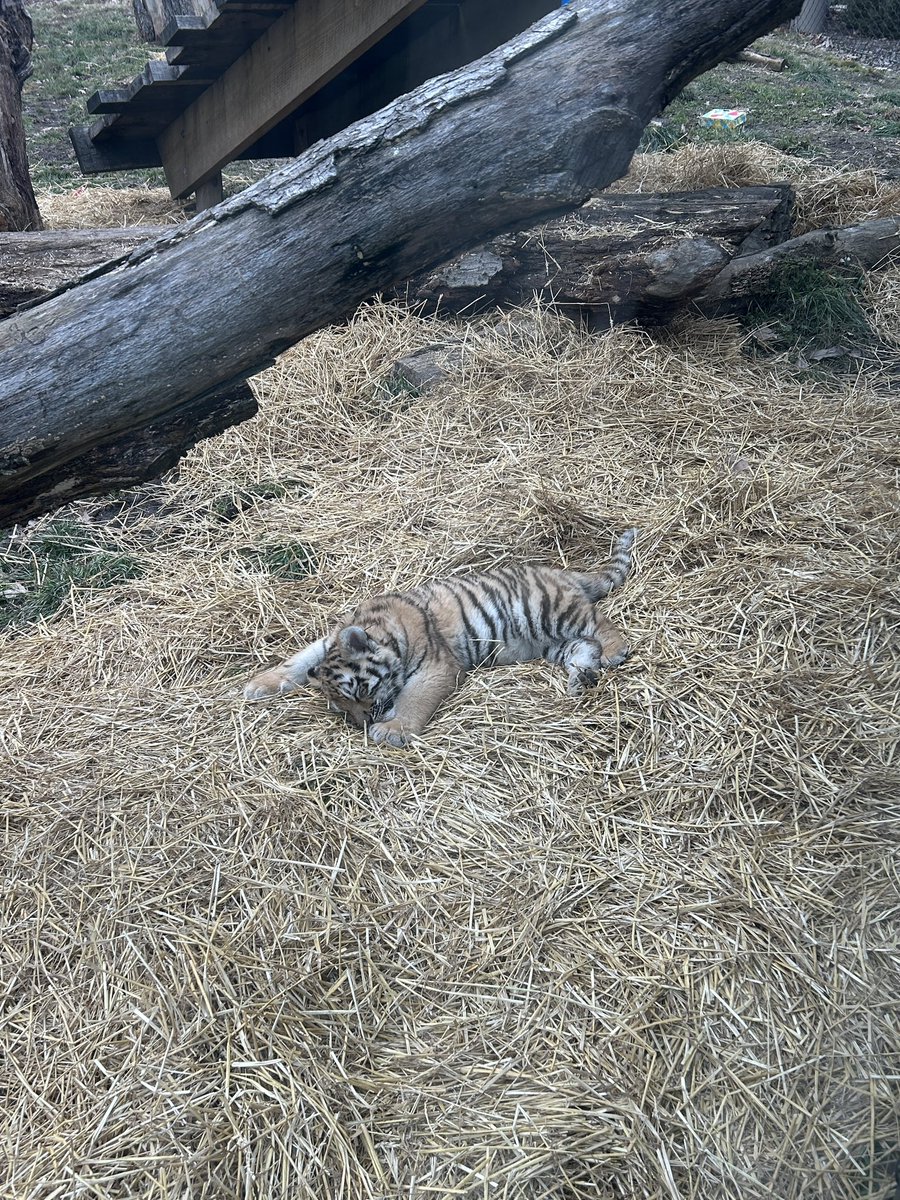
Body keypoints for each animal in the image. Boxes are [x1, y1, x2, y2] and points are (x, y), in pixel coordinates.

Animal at [244, 528, 637, 747]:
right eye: (340, 707)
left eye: (358, 692)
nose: (363, 722)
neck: (380, 628)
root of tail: (565, 574)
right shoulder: (326, 642)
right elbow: (300, 659)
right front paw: (260, 684)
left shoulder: (436, 666)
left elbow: (414, 698)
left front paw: (392, 730)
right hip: (553, 643)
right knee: (583, 648)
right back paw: (581, 680)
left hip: (549, 611)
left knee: (597, 622)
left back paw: (615, 651)